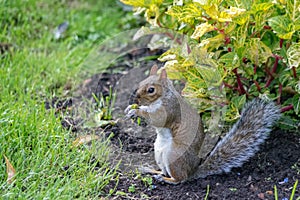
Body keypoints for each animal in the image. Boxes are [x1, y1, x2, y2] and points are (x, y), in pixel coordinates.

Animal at [125, 65, 282, 184]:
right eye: (140, 83)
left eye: (151, 90)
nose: (136, 99)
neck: (164, 96)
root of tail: (193, 172)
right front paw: (131, 108)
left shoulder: (170, 109)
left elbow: (157, 119)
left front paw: (137, 111)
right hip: (158, 153)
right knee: (165, 171)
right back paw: (150, 170)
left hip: (173, 156)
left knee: (180, 179)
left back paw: (165, 179)